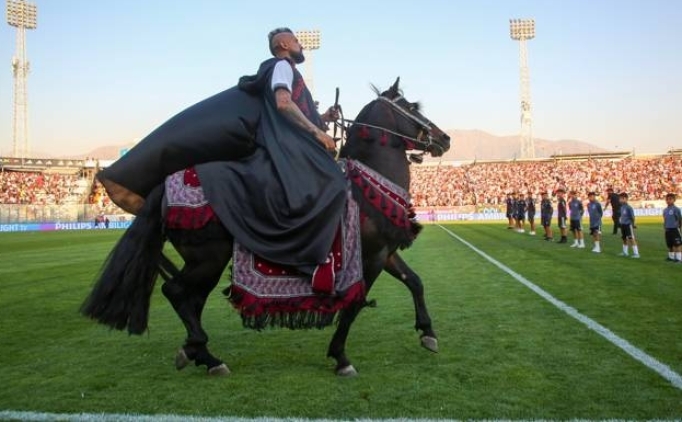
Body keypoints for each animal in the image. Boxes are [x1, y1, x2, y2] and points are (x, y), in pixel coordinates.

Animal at [82, 78, 448, 376]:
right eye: (412, 108)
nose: (444, 139)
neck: (369, 185)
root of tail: (161, 189)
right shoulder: (370, 257)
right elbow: (354, 306)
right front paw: (341, 358)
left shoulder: (385, 252)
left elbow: (415, 281)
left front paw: (428, 333)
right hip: (208, 259)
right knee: (176, 292)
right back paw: (208, 357)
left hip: (202, 262)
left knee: (190, 299)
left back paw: (194, 351)